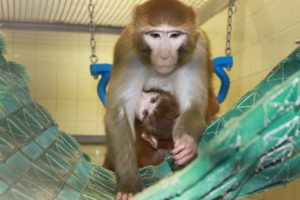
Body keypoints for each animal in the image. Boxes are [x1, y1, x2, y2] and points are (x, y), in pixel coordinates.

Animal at [104, 0, 217, 198]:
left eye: (174, 35)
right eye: (155, 35)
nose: (164, 55)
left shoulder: (199, 49)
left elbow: (194, 106)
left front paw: (187, 145)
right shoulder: (126, 49)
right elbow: (119, 111)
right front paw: (128, 186)